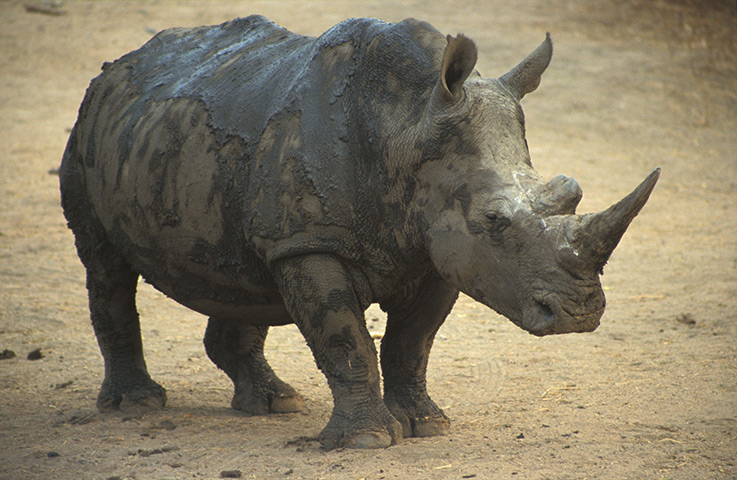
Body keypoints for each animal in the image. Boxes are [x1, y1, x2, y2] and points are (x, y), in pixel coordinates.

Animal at [60, 15, 659, 449]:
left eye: (571, 191)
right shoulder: (312, 242)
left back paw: (275, 403)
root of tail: (120, 66)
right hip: (86, 129)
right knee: (106, 267)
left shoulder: (437, 250)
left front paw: (426, 426)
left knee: (244, 274)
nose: (580, 313)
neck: (408, 123)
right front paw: (369, 441)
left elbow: (411, 343)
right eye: (494, 221)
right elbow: (344, 338)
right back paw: (137, 405)